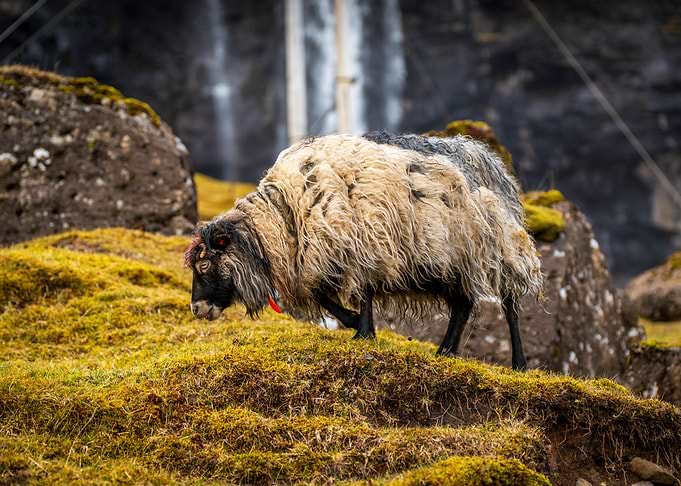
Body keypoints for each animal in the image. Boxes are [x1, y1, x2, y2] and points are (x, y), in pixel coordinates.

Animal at [185, 132, 543, 370]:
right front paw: (357, 324)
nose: (196, 309)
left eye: (204, 266)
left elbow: (362, 294)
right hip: (447, 262)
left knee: (509, 304)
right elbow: (324, 297)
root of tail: (486, 159)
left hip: (499, 249)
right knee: (463, 304)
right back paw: (446, 351)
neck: (285, 216)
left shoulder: (363, 247)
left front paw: (363, 330)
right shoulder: (323, 260)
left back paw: (519, 362)